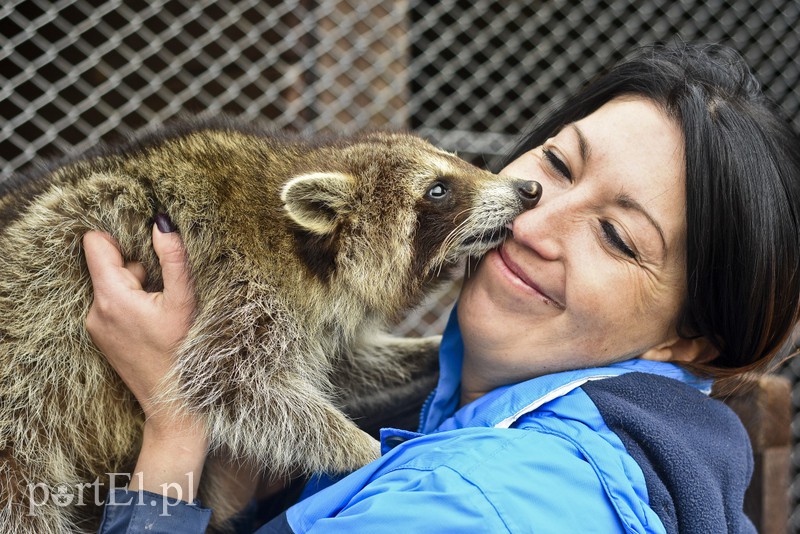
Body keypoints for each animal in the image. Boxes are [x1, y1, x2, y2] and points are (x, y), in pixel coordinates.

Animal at [0, 116, 540, 532]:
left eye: (458, 164)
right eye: (438, 189)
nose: (530, 189)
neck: (309, 246)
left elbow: (338, 366)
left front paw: (427, 353)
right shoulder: (242, 279)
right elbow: (230, 382)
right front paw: (368, 449)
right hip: (26, 370)